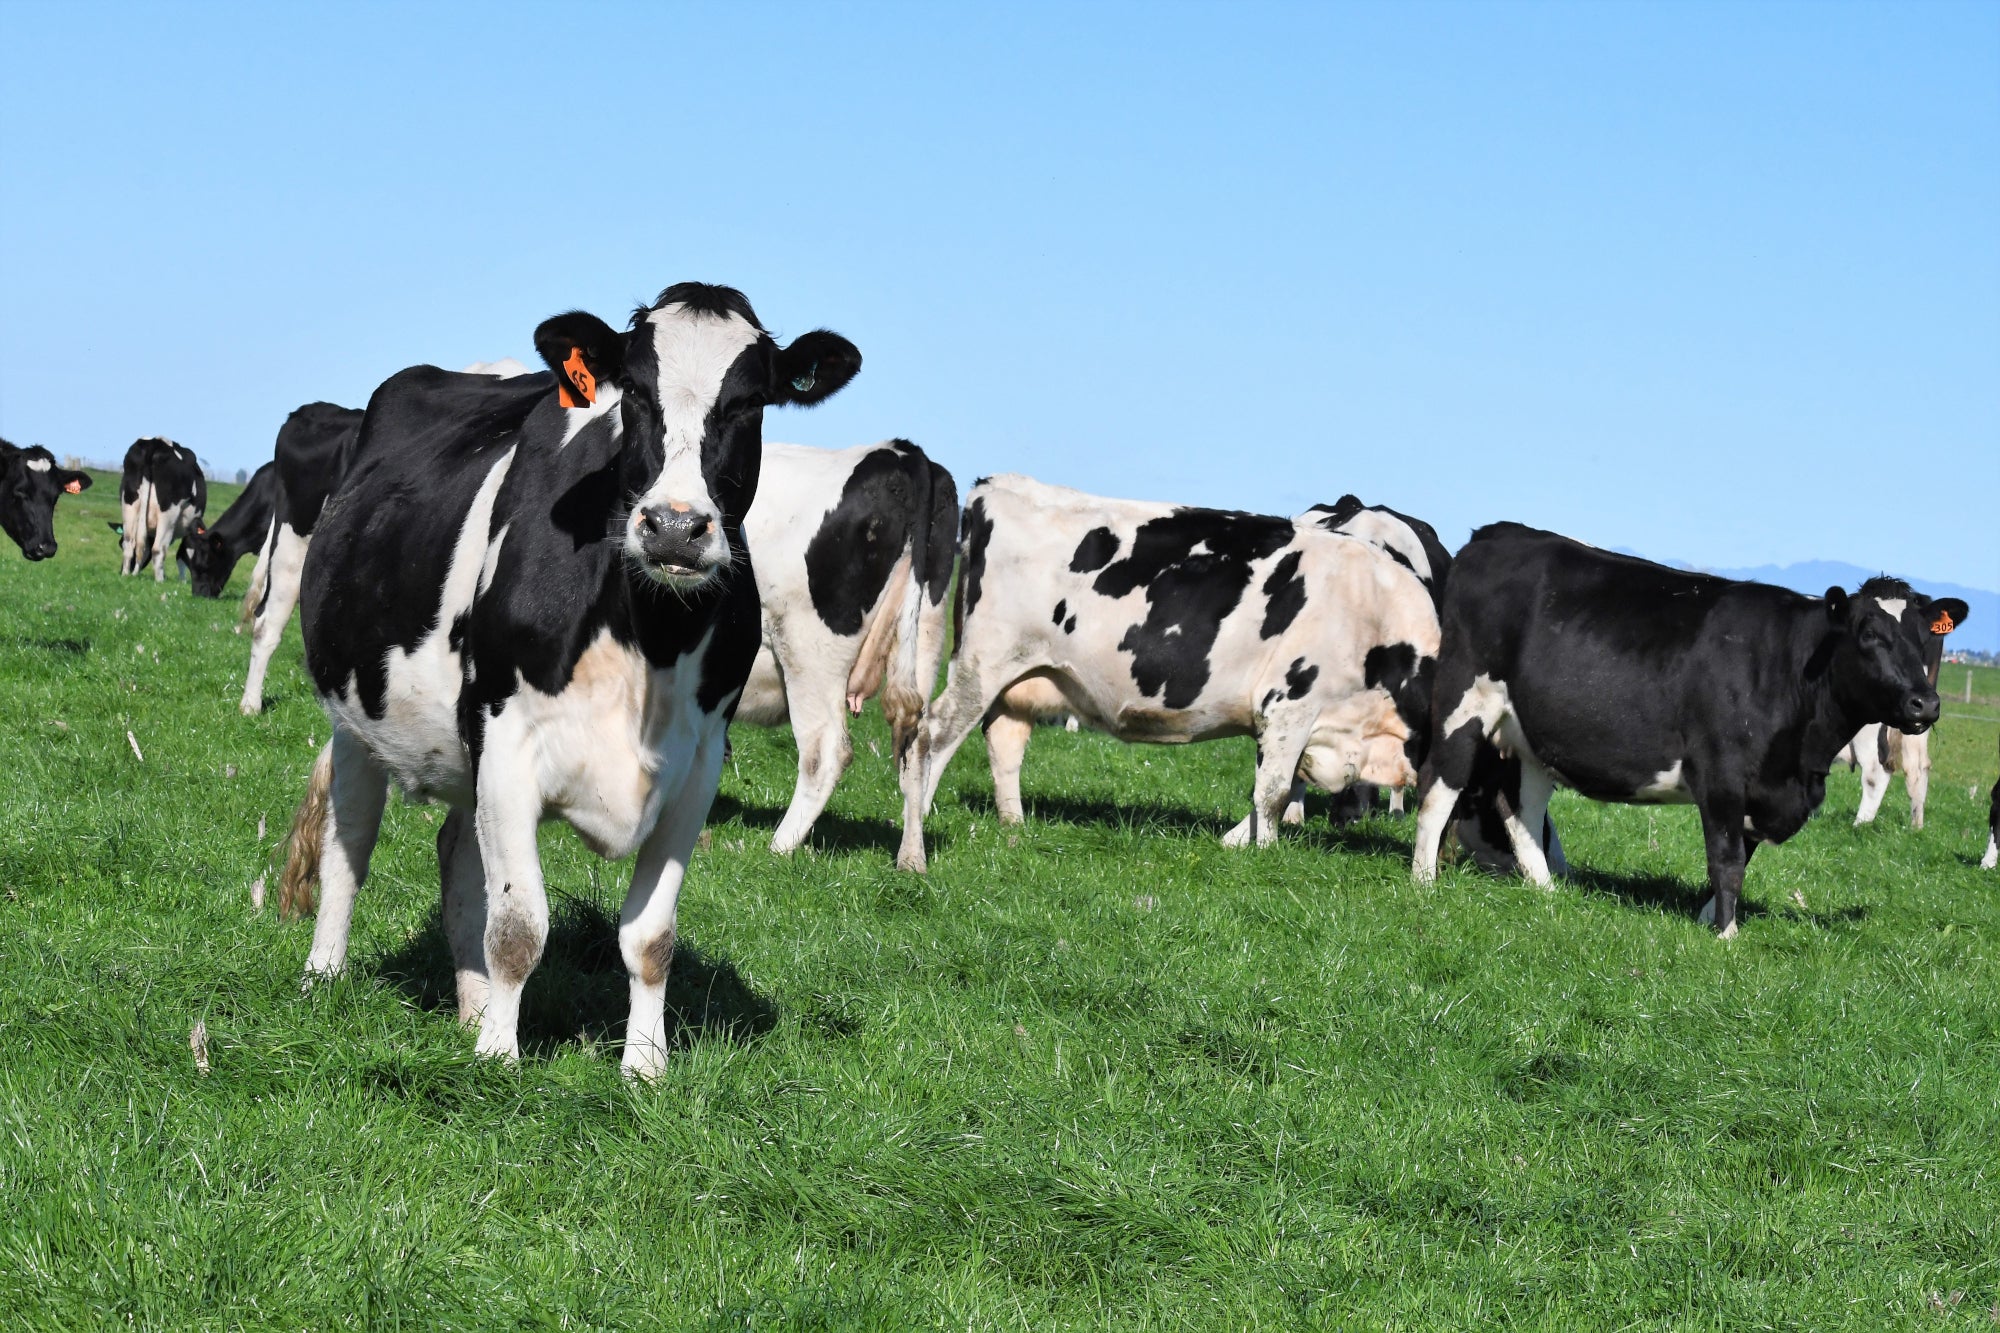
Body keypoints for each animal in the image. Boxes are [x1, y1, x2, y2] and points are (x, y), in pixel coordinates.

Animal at [114, 437, 205, 580]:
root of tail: (154, 442)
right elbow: (183, 554)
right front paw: (183, 581)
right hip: (168, 513)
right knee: (158, 549)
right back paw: (160, 581)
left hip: (129, 504)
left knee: (130, 544)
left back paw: (125, 574)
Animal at [278, 282, 861, 1077]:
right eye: (636, 393)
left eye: (749, 402)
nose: (674, 527)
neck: (650, 638)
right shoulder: (506, 740)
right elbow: (520, 925)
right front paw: (500, 1058)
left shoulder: (698, 767)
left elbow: (649, 937)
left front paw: (643, 1066)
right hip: (355, 720)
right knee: (349, 845)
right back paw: (323, 975)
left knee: (459, 857)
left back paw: (470, 1007)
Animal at [733, 440, 958, 853]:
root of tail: (901, 452)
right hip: (927, 633)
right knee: (917, 745)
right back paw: (911, 857)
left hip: (808, 649)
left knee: (826, 750)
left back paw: (779, 847)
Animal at [892, 474, 1439, 873]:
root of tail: (995, 486)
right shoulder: (1291, 703)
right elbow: (1273, 791)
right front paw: (1262, 853)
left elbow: (1272, 787)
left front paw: (1238, 840)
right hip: (982, 665)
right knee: (931, 736)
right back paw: (914, 842)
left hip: (1024, 675)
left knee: (1003, 740)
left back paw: (1014, 827)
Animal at [1411, 522, 1967, 938]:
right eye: (1870, 635)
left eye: (1925, 638)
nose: (1925, 702)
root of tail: (1496, 534)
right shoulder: (1721, 773)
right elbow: (1727, 858)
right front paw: (1726, 935)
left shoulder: (1762, 787)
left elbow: (1743, 854)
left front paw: (1710, 918)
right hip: (1464, 700)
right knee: (1440, 786)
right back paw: (1424, 882)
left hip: (1530, 734)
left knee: (1520, 805)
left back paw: (1545, 889)